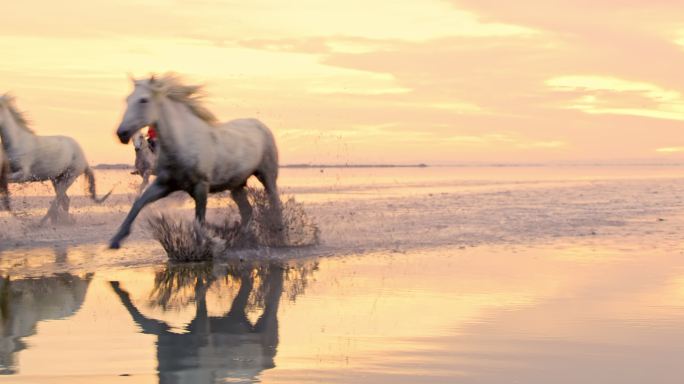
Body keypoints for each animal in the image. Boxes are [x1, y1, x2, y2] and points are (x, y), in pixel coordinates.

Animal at [0, 94, 112, 224]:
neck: (16, 141)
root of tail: (84, 160)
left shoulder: (23, 174)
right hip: (57, 179)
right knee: (65, 201)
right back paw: (61, 222)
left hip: (69, 177)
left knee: (57, 200)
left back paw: (42, 223)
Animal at [109, 74, 284, 249]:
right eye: (128, 99)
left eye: (143, 100)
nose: (122, 133)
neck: (183, 143)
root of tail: (261, 125)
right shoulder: (164, 184)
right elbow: (138, 203)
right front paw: (116, 240)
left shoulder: (201, 186)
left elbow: (199, 222)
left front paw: (215, 243)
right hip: (236, 185)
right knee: (247, 211)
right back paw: (245, 239)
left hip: (267, 176)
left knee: (275, 203)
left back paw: (279, 234)